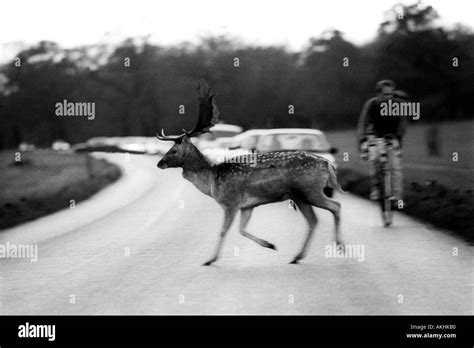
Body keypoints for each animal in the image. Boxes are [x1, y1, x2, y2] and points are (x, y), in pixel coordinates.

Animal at [157, 80, 342, 266]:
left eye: (173, 150)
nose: (159, 163)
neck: (212, 180)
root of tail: (327, 164)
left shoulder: (230, 203)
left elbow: (223, 231)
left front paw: (210, 260)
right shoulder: (247, 206)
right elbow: (242, 230)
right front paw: (270, 244)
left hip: (310, 190)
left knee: (335, 206)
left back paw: (339, 246)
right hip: (299, 196)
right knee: (314, 220)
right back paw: (297, 256)